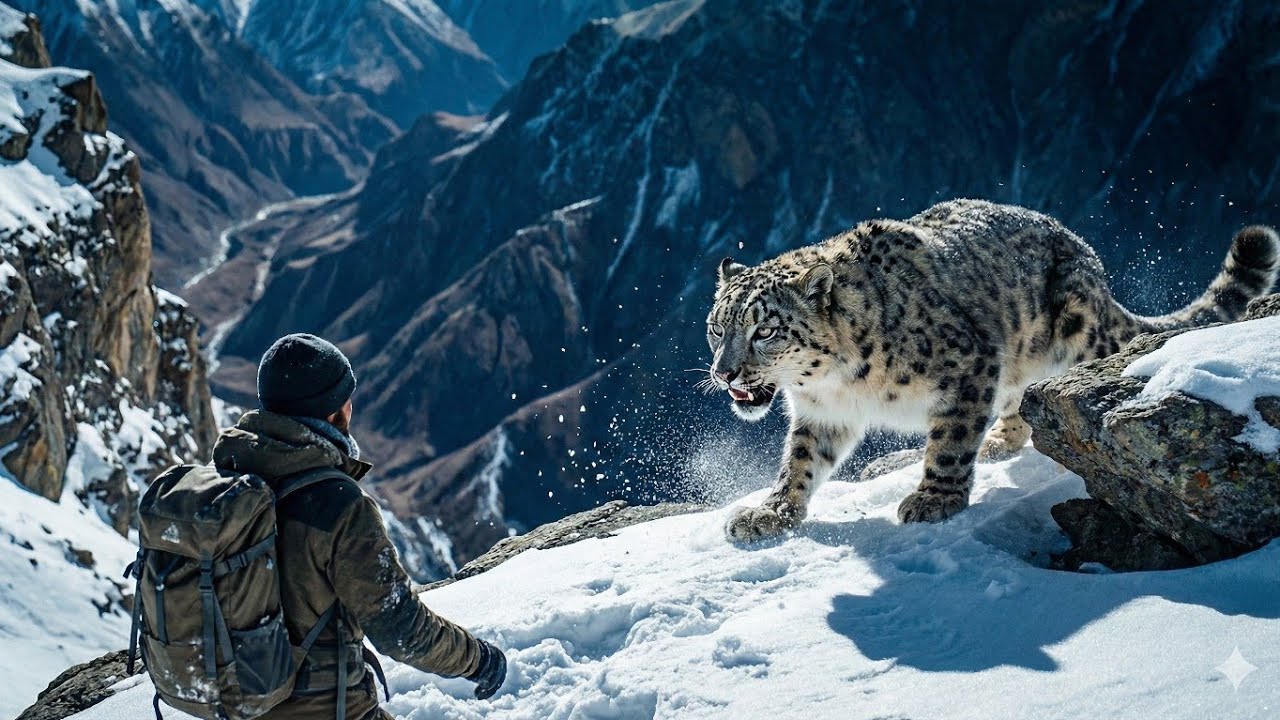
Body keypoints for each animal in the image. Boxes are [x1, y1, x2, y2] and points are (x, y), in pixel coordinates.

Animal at [703, 199, 1278, 541]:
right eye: (716, 327)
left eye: (765, 331)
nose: (724, 374)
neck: (838, 382)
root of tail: (1088, 257)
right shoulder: (822, 412)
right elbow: (800, 461)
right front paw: (770, 512)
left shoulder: (968, 367)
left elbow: (951, 442)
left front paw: (935, 500)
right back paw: (1001, 439)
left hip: (1078, 327)